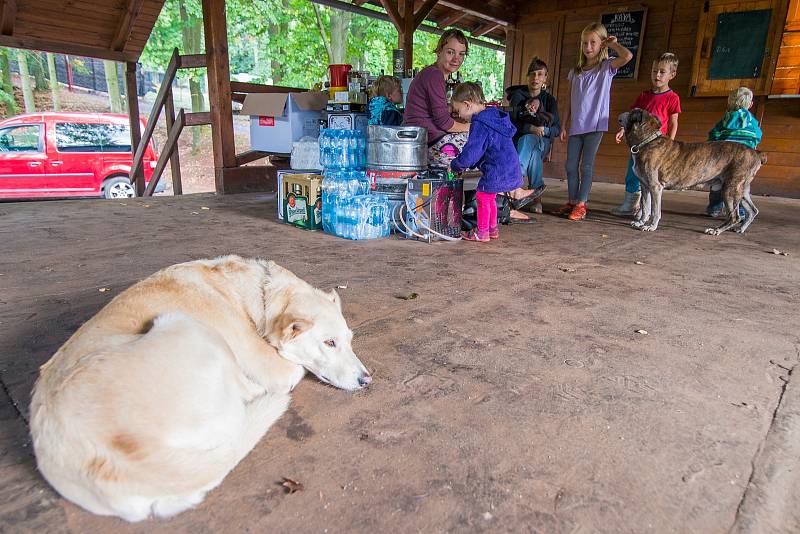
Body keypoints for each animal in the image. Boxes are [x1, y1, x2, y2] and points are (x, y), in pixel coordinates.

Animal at [28, 255, 372, 524]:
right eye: (329, 342)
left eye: (349, 340)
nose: (367, 380)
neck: (257, 293)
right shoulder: (275, 368)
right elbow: (292, 367)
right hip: (187, 326)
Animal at [620, 108, 764, 234]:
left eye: (632, 112)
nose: (620, 115)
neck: (647, 141)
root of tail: (756, 153)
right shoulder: (645, 186)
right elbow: (645, 206)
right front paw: (641, 222)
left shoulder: (655, 187)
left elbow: (655, 211)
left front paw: (651, 226)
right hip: (741, 190)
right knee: (753, 210)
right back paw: (741, 229)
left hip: (730, 189)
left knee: (735, 217)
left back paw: (716, 230)